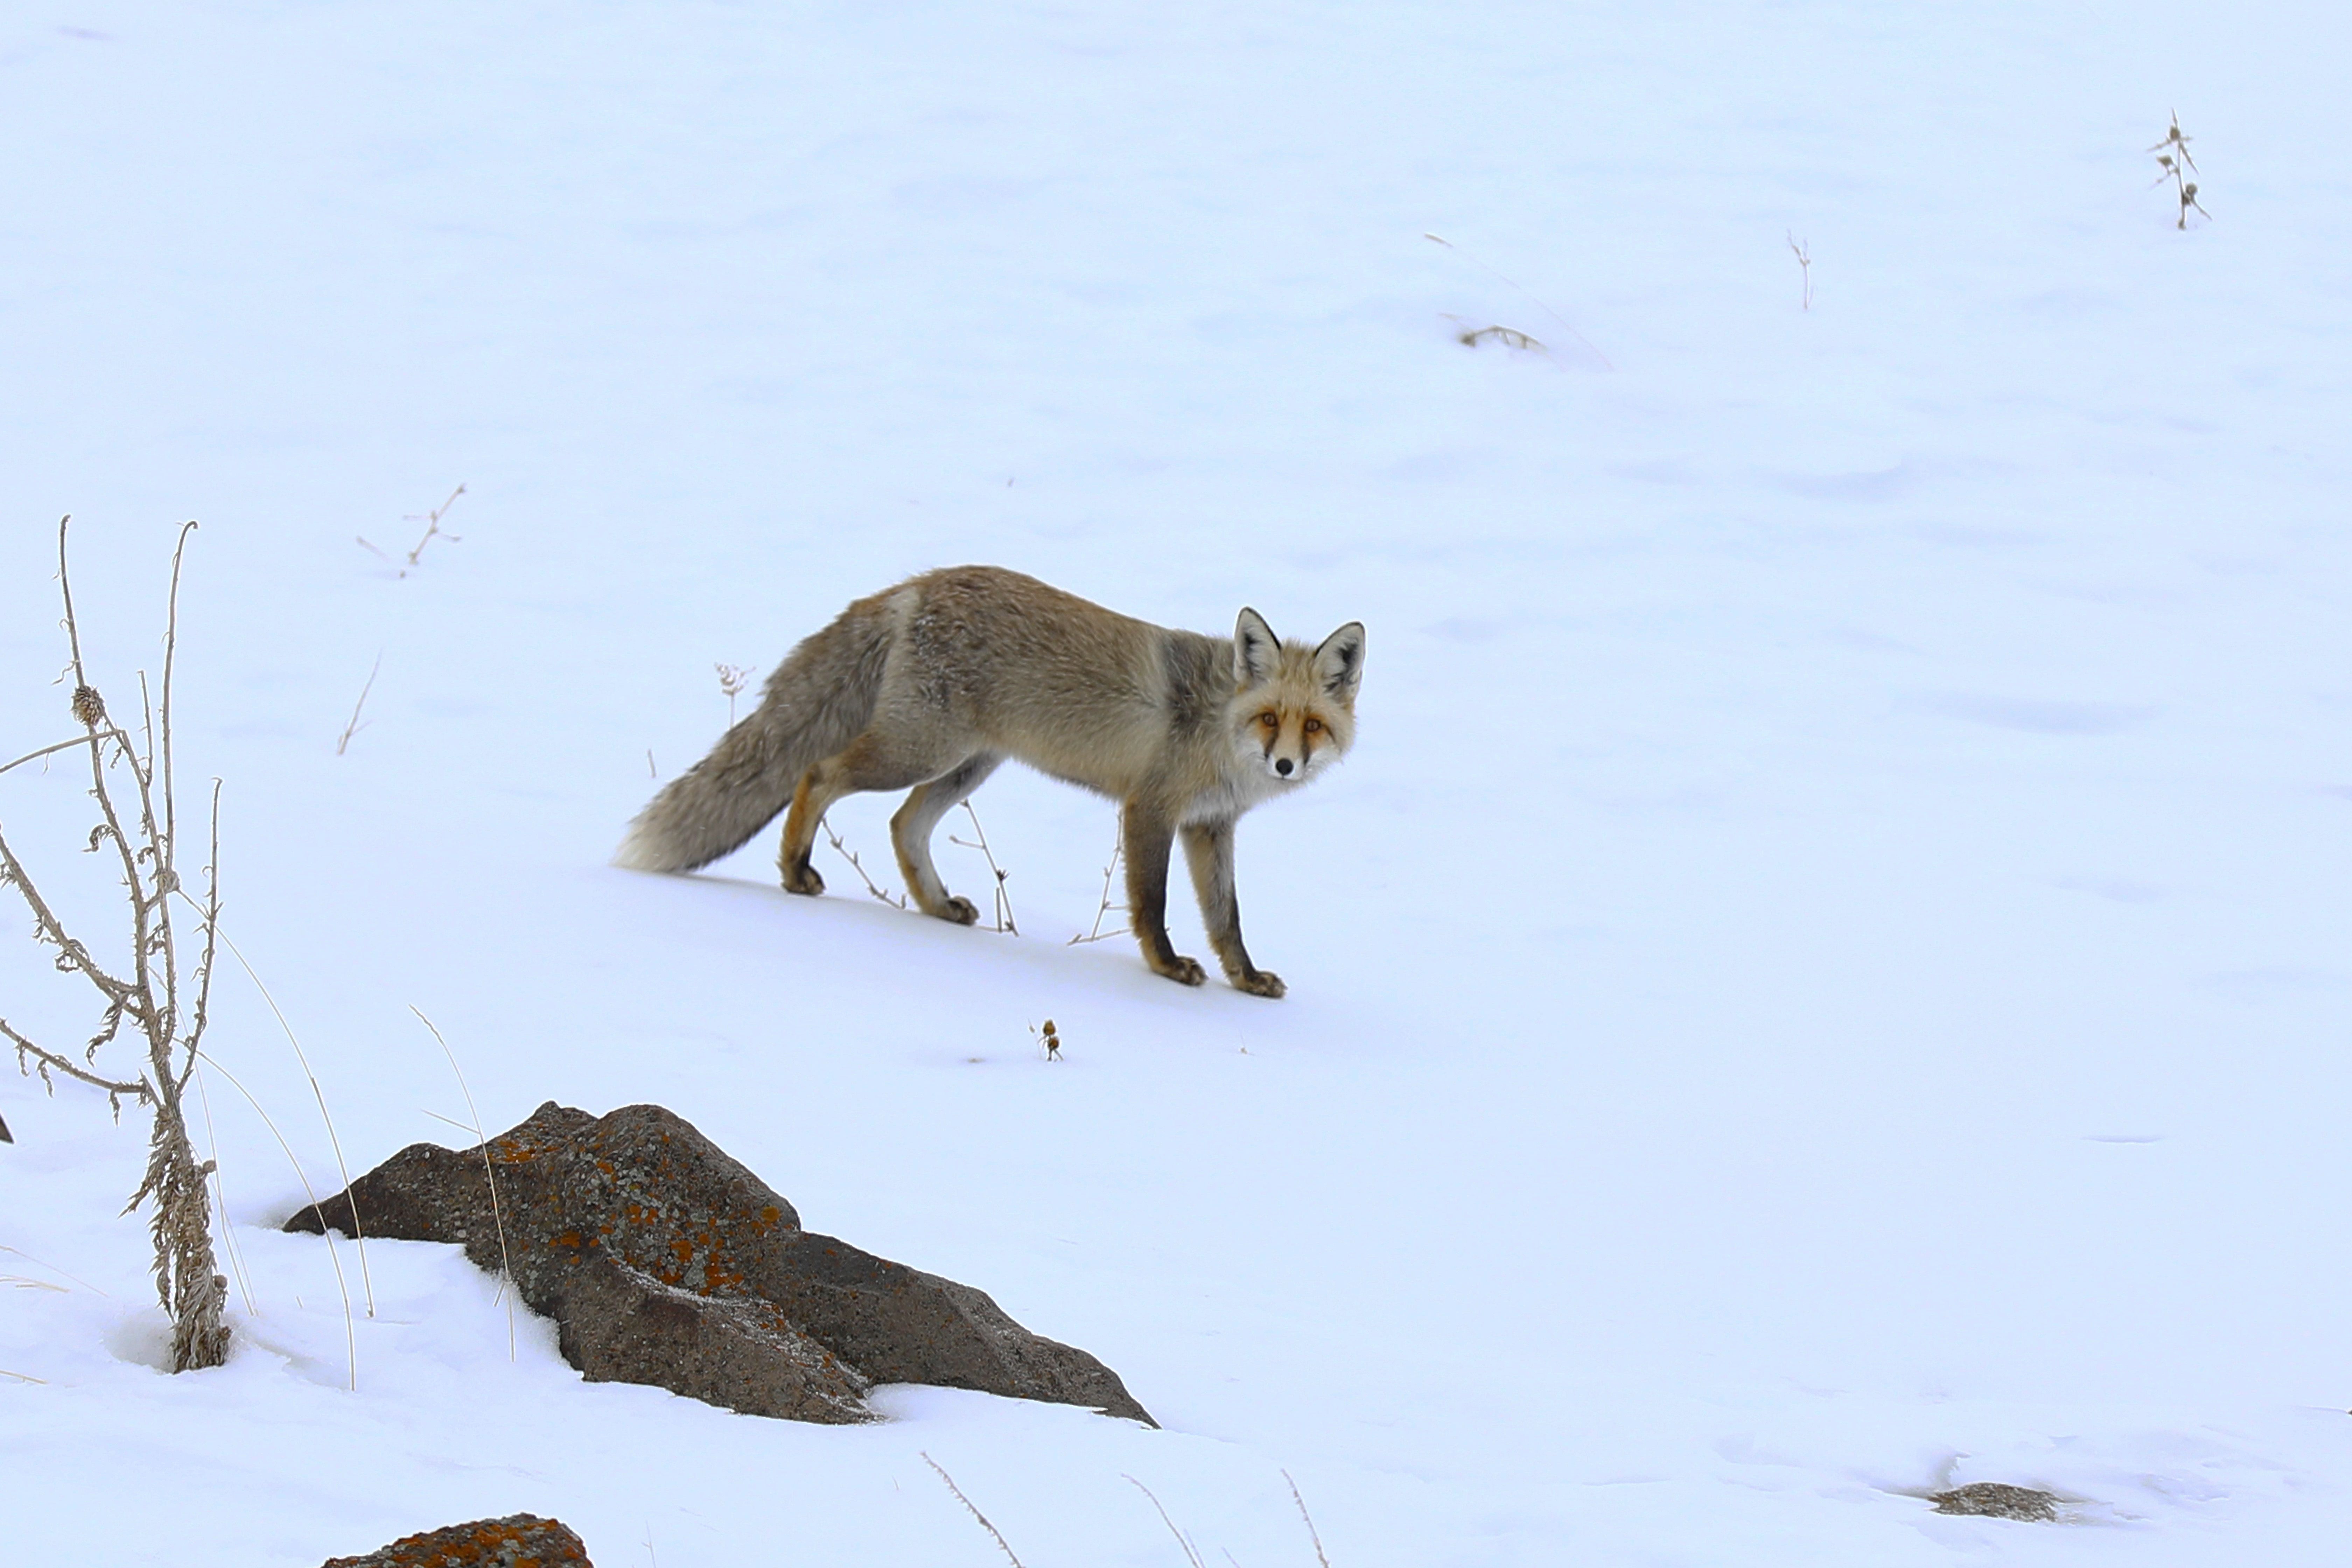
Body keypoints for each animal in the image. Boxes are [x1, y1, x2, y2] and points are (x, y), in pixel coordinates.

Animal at [615, 566, 1365, 997]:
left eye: (1312, 726)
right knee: (817, 773)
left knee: (903, 824)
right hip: (918, 751)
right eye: (1268, 719)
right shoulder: (1149, 810)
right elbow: (1152, 907)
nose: (1285, 765)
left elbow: (1226, 919)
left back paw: (936, 907)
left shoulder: (1210, 827)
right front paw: (1165, 968)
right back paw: (796, 871)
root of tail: (917, 582)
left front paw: (1245, 979)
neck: (1216, 728)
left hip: (966, 765)